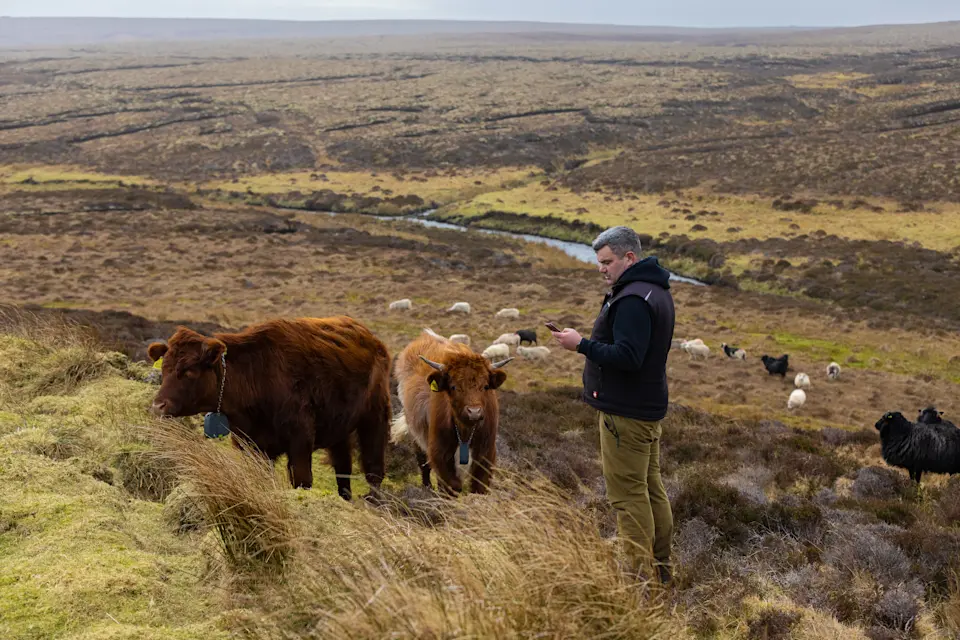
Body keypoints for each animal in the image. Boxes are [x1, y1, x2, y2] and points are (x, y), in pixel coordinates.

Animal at [147, 317, 391, 501]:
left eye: (189, 371)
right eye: (164, 369)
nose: (158, 405)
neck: (255, 376)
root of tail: (371, 339)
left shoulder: (300, 440)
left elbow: (302, 481)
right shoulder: (251, 445)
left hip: (375, 417)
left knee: (374, 470)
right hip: (339, 430)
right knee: (343, 469)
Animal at [391, 329, 513, 495]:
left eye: (485, 386)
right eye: (454, 387)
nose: (474, 412)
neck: (465, 431)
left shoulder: (486, 454)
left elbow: (479, 486)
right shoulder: (440, 454)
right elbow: (450, 486)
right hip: (415, 431)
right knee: (423, 462)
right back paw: (427, 488)